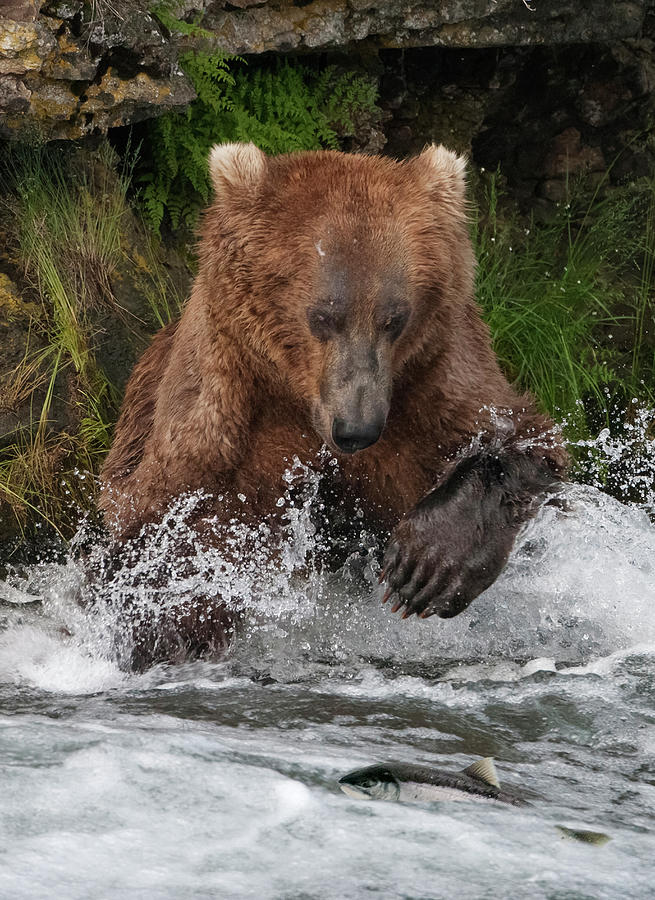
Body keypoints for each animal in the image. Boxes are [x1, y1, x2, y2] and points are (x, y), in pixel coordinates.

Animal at [98, 142, 568, 668]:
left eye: (394, 318)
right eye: (322, 316)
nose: (356, 429)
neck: (299, 398)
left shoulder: (433, 383)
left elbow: (519, 439)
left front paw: (424, 566)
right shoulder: (224, 415)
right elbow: (172, 529)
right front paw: (174, 618)